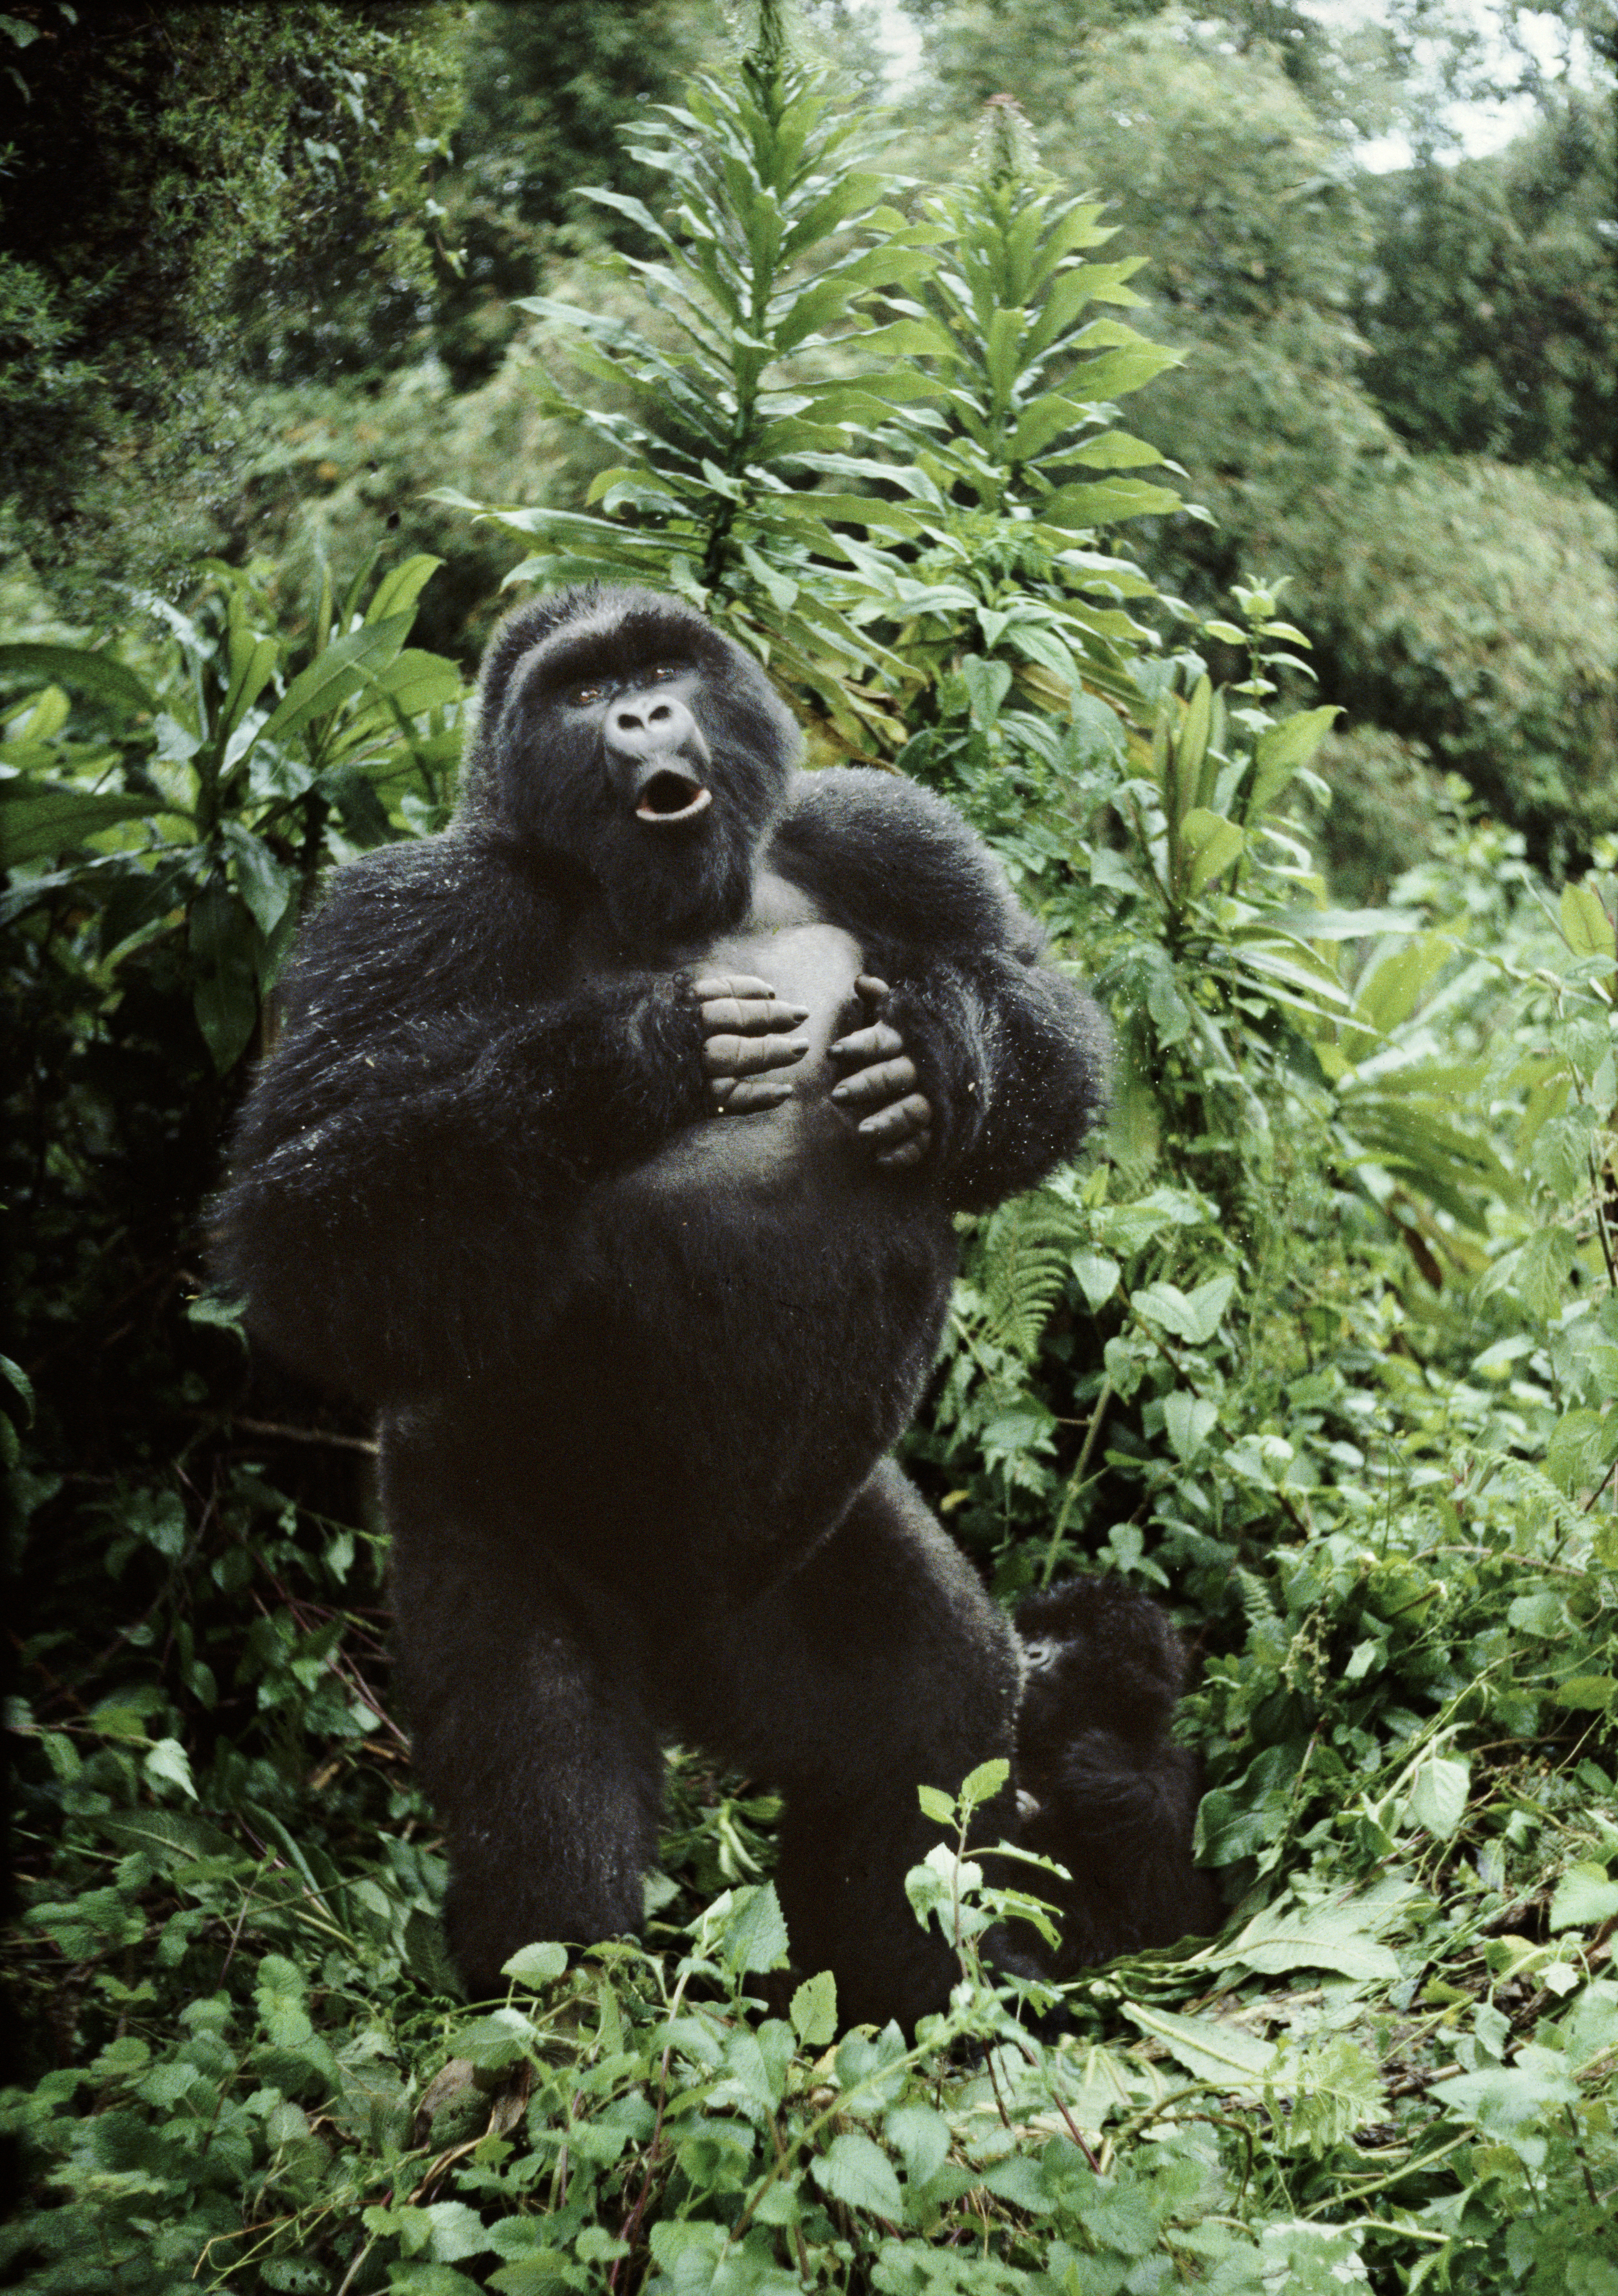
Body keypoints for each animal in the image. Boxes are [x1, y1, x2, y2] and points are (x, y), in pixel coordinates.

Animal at [220, 583, 1221, 2020]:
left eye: (660, 668)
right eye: (582, 692)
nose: (643, 718)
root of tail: (686, 1658)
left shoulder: (891, 832)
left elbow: (1039, 1009)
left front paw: (944, 1046)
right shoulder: (412, 909)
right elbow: (304, 1223)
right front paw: (617, 1065)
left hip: (790, 1579)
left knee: (929, 1722)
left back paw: (920, 1993)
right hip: (485, 1512)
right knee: (548, 1796)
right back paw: (559, 2019)